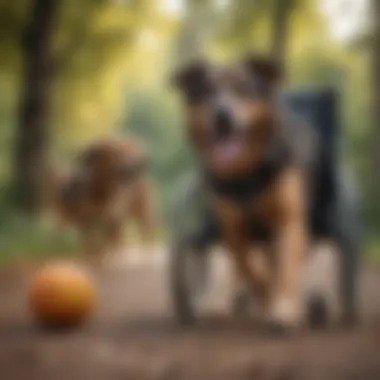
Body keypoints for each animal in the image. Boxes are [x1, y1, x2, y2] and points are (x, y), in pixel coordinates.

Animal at [171, 55, 360, 332]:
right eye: (207, 92)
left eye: (244, 89)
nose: (222, 115)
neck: (248, 172)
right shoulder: (233, 227)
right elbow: (245, 264)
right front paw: (263, 295)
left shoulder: (289, 219)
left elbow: (286, 268)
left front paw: (285, 310)